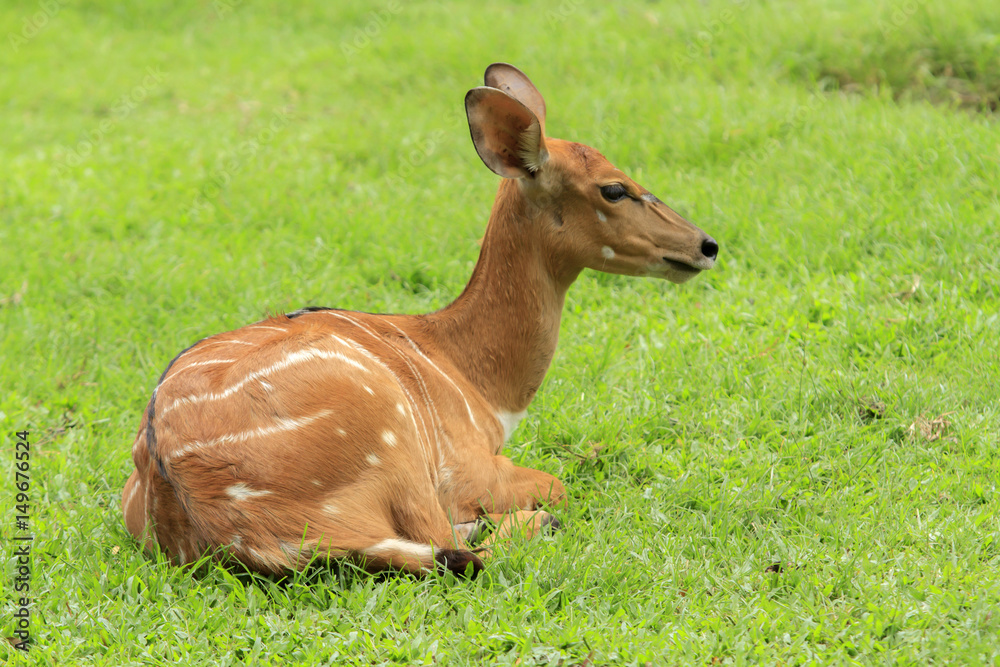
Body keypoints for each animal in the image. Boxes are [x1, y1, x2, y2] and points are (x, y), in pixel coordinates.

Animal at [121, 64, 720, 580]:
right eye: (613, 188)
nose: (706, 245)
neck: (480, 387)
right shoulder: (468, 467)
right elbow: (556, 485)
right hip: (392, 437)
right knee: (451, 544)